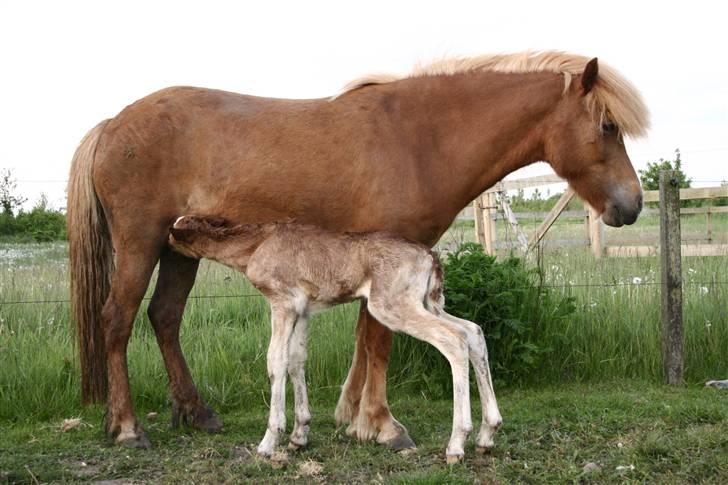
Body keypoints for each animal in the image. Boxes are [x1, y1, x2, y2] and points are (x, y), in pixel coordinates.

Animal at [169, 216, 500, 462]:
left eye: (175, 233)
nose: (166, 243)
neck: (254, 247)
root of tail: (432, 258)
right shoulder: (303, 309)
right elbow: (297, 360)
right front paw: (298, 437)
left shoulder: (282, 302)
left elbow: (275, 361)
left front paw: (269, 442)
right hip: (429, 303)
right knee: (473, 332)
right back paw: (487, 435)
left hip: (392, 306)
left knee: (454, 340)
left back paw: (457, 445)